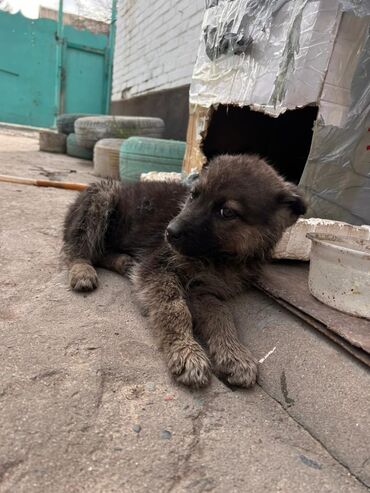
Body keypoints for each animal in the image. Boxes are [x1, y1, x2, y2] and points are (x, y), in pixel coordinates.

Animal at [64, 154, 306, 388]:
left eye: (227, 212)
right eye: (193, 195)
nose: (169, 232)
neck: (220, 258)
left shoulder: (202, 289)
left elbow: (220, 312)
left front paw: (234, 353)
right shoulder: (158, 267)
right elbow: (174, 309)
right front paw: (186, 351)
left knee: (101, 252)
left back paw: (124, 262)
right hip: (101, 197)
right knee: (79, 248)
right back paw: (82, 270)